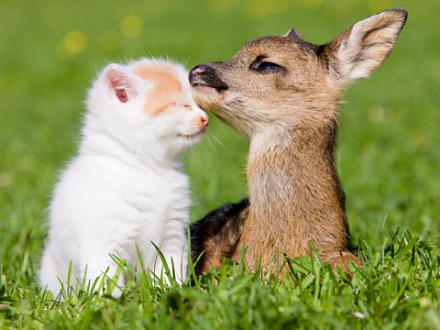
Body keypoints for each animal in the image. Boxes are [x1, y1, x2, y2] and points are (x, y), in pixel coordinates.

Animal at [39, 58, 208, 296]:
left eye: (199, 104)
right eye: (180, 105)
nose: (206, 118)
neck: (147, 169)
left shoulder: (172, 237)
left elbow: (169, 273)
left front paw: (168, 293)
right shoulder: (104, 245)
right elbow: (105, 284)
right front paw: (111, 303)